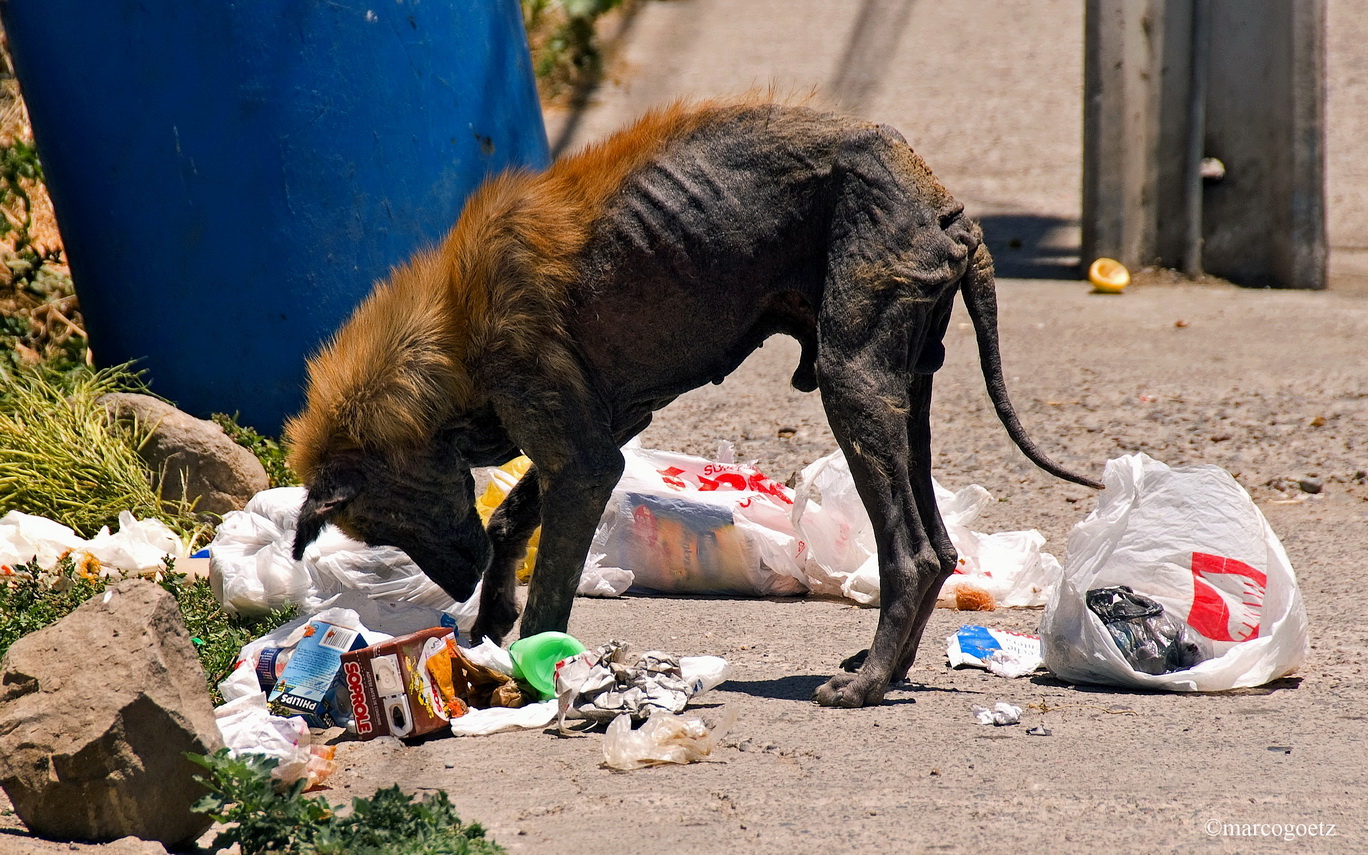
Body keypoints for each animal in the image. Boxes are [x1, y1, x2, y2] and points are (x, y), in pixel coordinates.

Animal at [288, 98, 1099, 705]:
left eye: (387, 520)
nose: (454, 583)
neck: (449, 325)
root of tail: (944, 202)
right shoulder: (599, 438)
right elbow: (513, 520)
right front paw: (488, 627)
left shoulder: (584, 461)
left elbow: (548, 585)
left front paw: (531, 672)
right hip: (907, 397)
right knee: (942, 546)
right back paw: (888, 668)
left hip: (852, 388)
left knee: (915, 553)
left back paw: (867, 683)